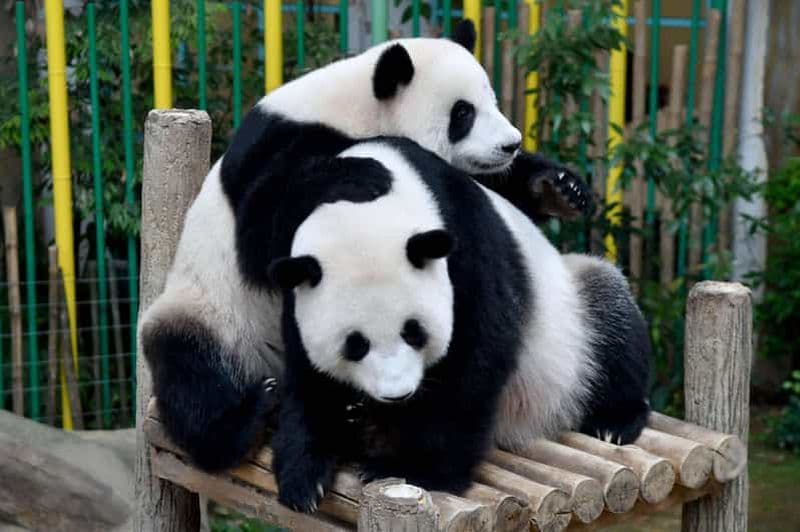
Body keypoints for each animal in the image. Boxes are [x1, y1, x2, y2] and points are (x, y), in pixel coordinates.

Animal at [141, 21, 591, 473]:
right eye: (462, 113)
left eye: (492, 101)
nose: (510, 144)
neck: (356, 106)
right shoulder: (278, 145)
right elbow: (261, 230)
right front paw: (361, 174)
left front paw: (560, 189)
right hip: (212, 313)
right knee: (190, 373)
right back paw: (244, 419)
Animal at [266, 137, 650, 512]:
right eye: (354, 345)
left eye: (414, 332)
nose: (397, 395)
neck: (363, 204)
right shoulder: (295, 282)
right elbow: (308, 373)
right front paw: (303, 476)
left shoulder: (465, 244)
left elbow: (473, 361)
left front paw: (419, 469)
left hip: (574, 324)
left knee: (611, 314)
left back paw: (615, 420)